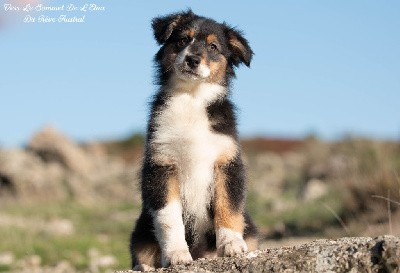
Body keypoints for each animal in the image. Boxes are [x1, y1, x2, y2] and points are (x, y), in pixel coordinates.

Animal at [130, 9, 258, 268]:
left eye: (213, 46)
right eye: (182, 40)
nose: (192, 60)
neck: (191, 97)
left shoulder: (226, 162)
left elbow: (228, 206)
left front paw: (231, 245)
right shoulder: (162, 165)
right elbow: (169, 217)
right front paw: (176, 254)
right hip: (140, 234)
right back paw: (145, 266)